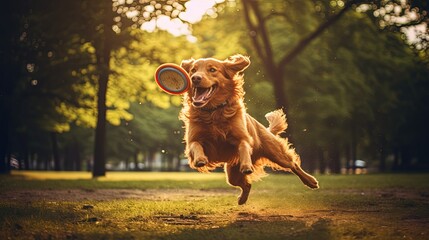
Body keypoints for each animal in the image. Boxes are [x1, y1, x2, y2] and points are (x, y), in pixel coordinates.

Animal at [178, 54, 318, 204]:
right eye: (193, 70)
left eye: (212, 69)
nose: (195, 78)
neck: (213, 112)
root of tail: (266, 129)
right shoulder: (193, 141)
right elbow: (196, 145)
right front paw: (200, 159)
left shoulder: (243, 137)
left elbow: (244, 146)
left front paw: (246, 165)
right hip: (232, 174)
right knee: (247, 184)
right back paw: (242, 199)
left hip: (277, 154)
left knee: (293, 165)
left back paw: (310, 181)